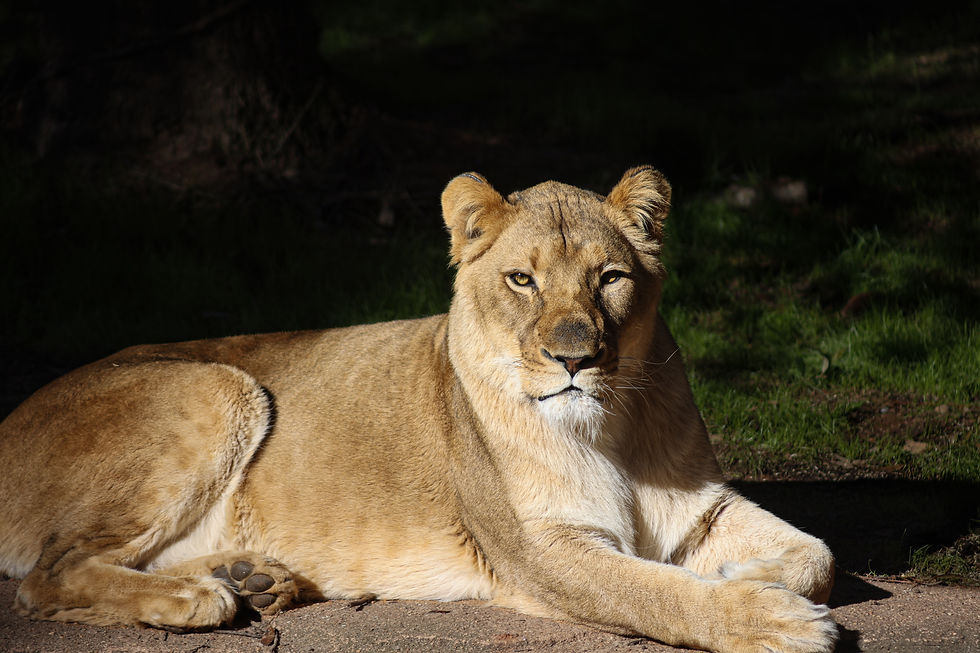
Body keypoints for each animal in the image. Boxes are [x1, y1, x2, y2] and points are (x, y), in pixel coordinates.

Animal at [0, 167, 836, 652]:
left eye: (609, 278)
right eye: (523, 280)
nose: (573, 357)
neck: (612, 426)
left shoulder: (699, 507)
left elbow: (817, 555)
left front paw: (750, 573)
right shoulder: (540, 549)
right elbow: (654, 591)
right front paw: (768, 615)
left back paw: (253, 577)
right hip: (218, 387)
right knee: (46, 576)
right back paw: (199, 595)